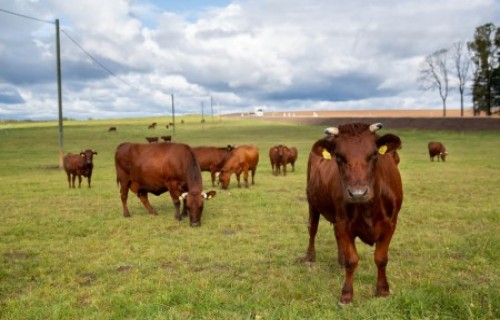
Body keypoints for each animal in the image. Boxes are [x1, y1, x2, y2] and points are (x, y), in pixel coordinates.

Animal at [302, 122, 404, 304]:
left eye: (374, 154)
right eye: (339, 157)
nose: (358, 193)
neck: (369, 208)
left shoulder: (391, 224)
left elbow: (381, 258)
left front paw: (383, 290)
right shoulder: (344, 223)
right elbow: (352, 260)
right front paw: (346, 295)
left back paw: (340, 260)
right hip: (312, 202)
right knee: (312, 229)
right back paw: (310, 257)